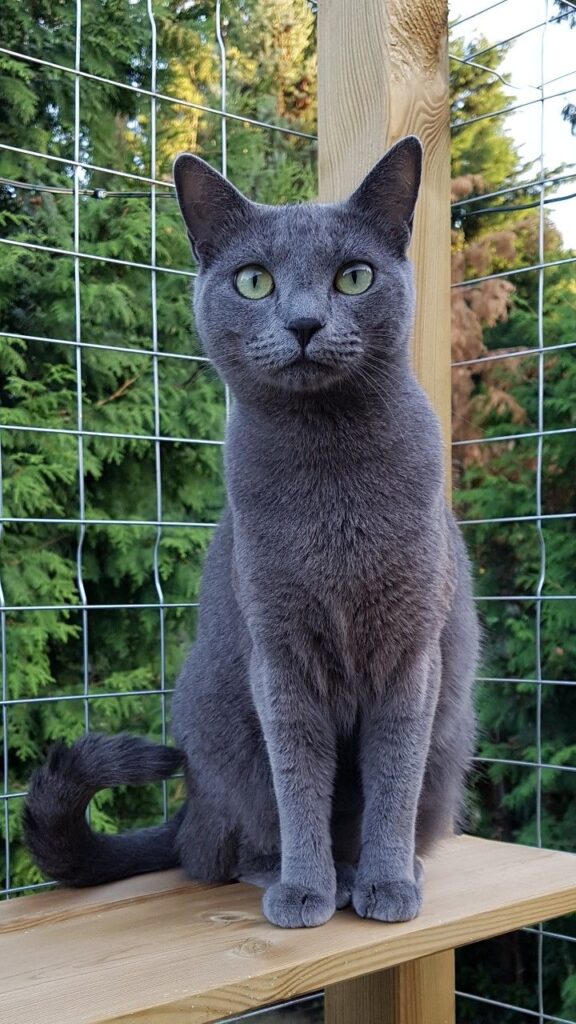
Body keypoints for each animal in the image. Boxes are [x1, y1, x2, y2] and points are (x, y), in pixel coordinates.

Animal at [24, 136, 477, 929]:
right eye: (256, 281)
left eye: (353, 276)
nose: (303, 323)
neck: (330, 473)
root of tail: (189, 806)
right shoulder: (279, 652)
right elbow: (298, 778)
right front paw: (306, 889)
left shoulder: (412, 652)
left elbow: (392, 777)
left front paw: (387, 883)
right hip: (224, 729)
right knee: (220, 852)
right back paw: (295, 873)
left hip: (449, 744)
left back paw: (387, 869)